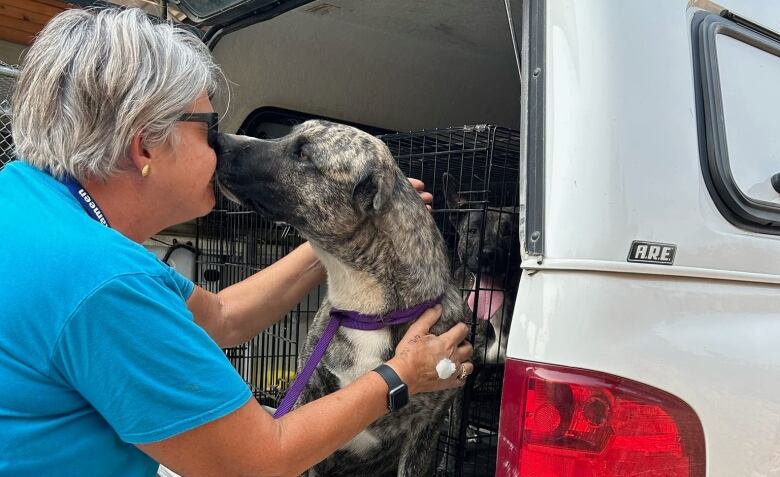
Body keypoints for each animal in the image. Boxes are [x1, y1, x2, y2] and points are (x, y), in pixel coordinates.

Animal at [215, 120, 464, 476]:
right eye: (289, 135)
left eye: (303, 153)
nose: (217, 139)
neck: (368, 310)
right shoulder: (306, 397)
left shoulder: (425, 429)